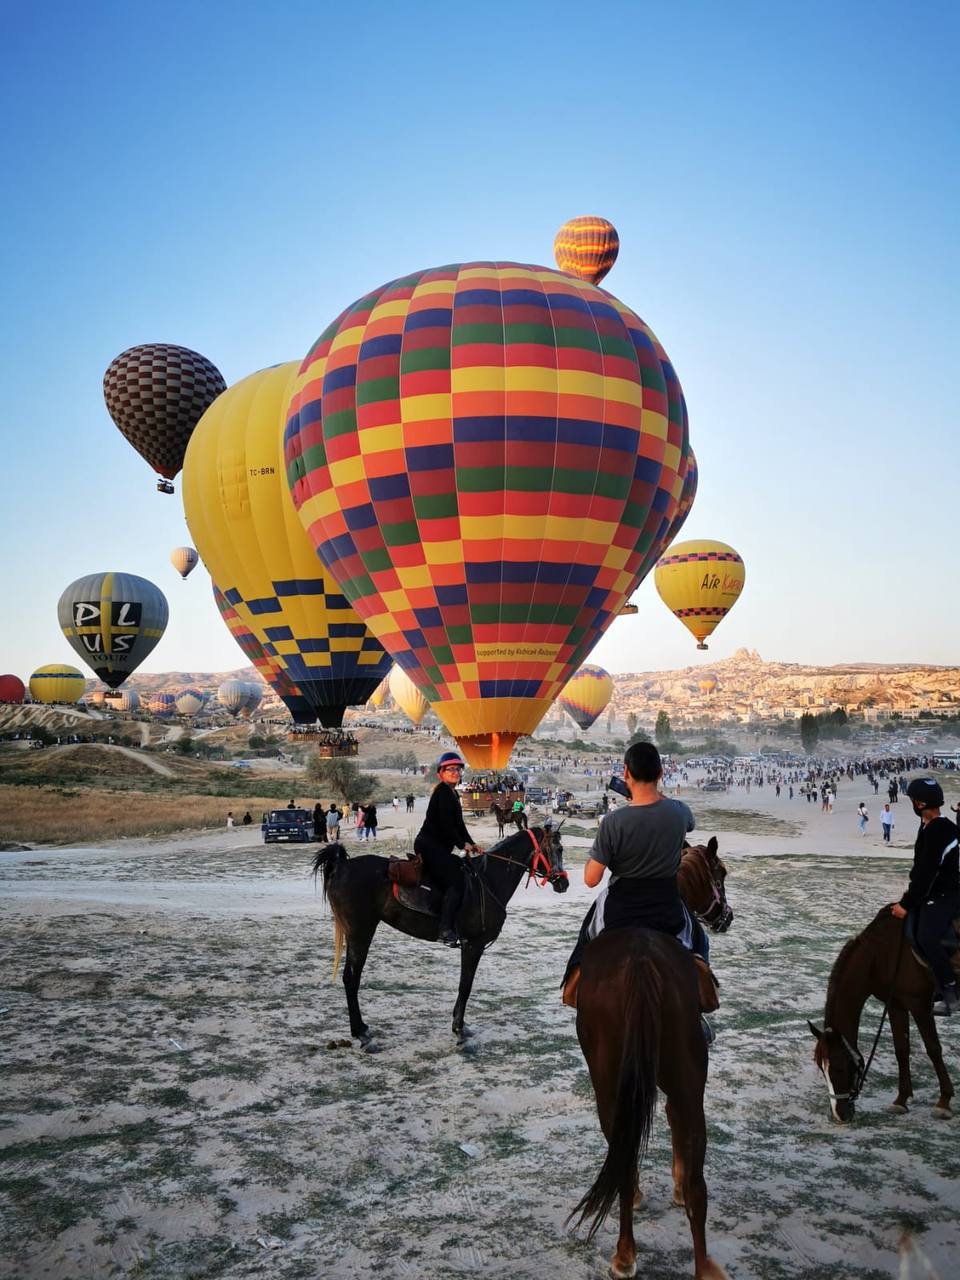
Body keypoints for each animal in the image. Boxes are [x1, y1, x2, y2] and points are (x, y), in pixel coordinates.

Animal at [576, 931, 727, 1280]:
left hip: (610, 1086)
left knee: (623, 1157)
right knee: (694, 1161)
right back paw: (702, 1264)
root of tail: (640, 962)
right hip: (687, 1077)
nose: (724, 921)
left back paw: (624, 1254)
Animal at [808, 911, 957, 1121]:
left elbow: (933, 1049)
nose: (839, 1115)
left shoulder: (919, 1005)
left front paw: (944, 1101)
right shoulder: (895, 1004)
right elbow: (901, 1050)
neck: (881, 956)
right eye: (822, 1069)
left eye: (838, 1067)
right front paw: (901, 1100)